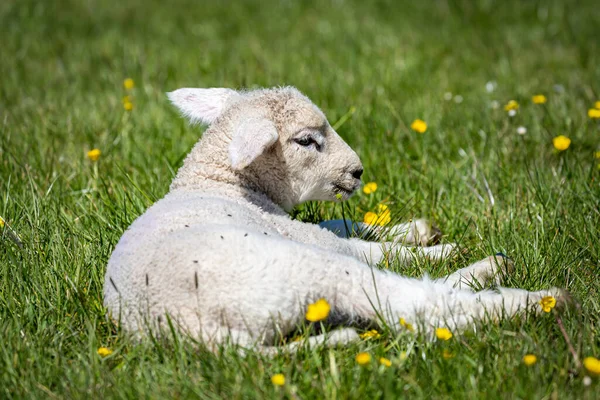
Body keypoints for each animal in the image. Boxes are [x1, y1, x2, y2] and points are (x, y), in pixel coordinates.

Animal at [104, 85, 568, 350]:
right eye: (306, 141)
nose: (358, 171)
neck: (219, 181)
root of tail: (183, 325)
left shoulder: (299, 226)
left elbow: (340, 222)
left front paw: (414, 229)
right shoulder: (299, 235)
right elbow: (373, 250)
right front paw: (433, 247)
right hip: (296, 268)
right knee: (411, 302)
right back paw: (524, 293)